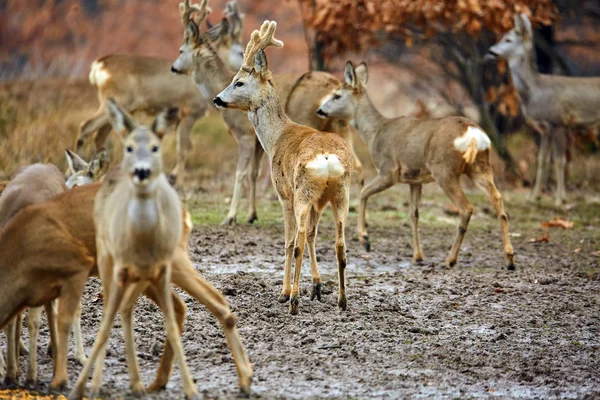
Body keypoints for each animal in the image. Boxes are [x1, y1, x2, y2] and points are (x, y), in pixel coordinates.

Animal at [68, 97, 251, 400]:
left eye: (80, 184)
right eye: (67, 182)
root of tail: (184, 213)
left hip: (170, 267)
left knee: (209, 303)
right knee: (184, 307)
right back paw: (162, 381)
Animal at [171, 0, 364, 225]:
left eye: (180, 50)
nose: (217, 99)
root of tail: (334, 85)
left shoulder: (245, 135)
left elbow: (240, 173)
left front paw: (230, 216)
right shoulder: (258, 143)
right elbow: (253, 173)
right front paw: (251, 214)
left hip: (310, 120)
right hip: (341, 126)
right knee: (358, 166)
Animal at [213, 21, 354, 314]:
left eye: (238, 82)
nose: (217, 99)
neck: (276, 137)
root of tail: (326, 158)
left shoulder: (284, 195)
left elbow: (290, 242)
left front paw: (285, 292)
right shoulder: (318, 202)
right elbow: (312, 235)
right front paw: (317, 288)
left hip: (302, 193)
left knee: (296, 242)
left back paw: (293, 301)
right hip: (340, 194)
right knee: (340, 244)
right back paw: (342, 301)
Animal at [318, 61, 516, 270]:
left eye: (337, 95)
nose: (320, 110)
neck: (375, 132)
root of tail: (474, 134)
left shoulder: (389, 170)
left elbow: (363, 193)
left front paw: (365, 239)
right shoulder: (414, 179)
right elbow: (414, 214)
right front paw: (417, 256)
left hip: (444, 170)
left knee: (466, 208)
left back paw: (450, 260)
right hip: (480, 167)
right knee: (498, 200)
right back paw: (509, 259)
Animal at [488, 13, 600, 205]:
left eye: (508, 39)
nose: (491, 51)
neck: (536, 91)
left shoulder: (559, 122)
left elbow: (560, 161)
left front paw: (560, 199)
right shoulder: (545, 129)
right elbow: (542, 160)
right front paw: (533, 196)